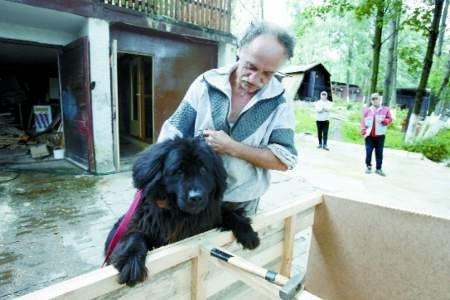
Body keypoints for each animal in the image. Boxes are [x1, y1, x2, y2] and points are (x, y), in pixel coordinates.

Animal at [105, 136, 260, 286]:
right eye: (179, 172)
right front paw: (131, 261)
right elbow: (134, 235)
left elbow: (230, 213)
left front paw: (248, 233)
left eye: (203, 170)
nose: (196, 197)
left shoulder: (213, 215)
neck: (181, 215)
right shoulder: (141, 223)